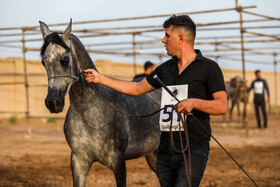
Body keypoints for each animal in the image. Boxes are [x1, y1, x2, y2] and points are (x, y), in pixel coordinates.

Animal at [40, 20, 161, 187]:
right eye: (43, 62)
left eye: (64, 60)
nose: (52, 102)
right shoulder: (78, 162)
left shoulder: (118, 163)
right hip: (152, 155)